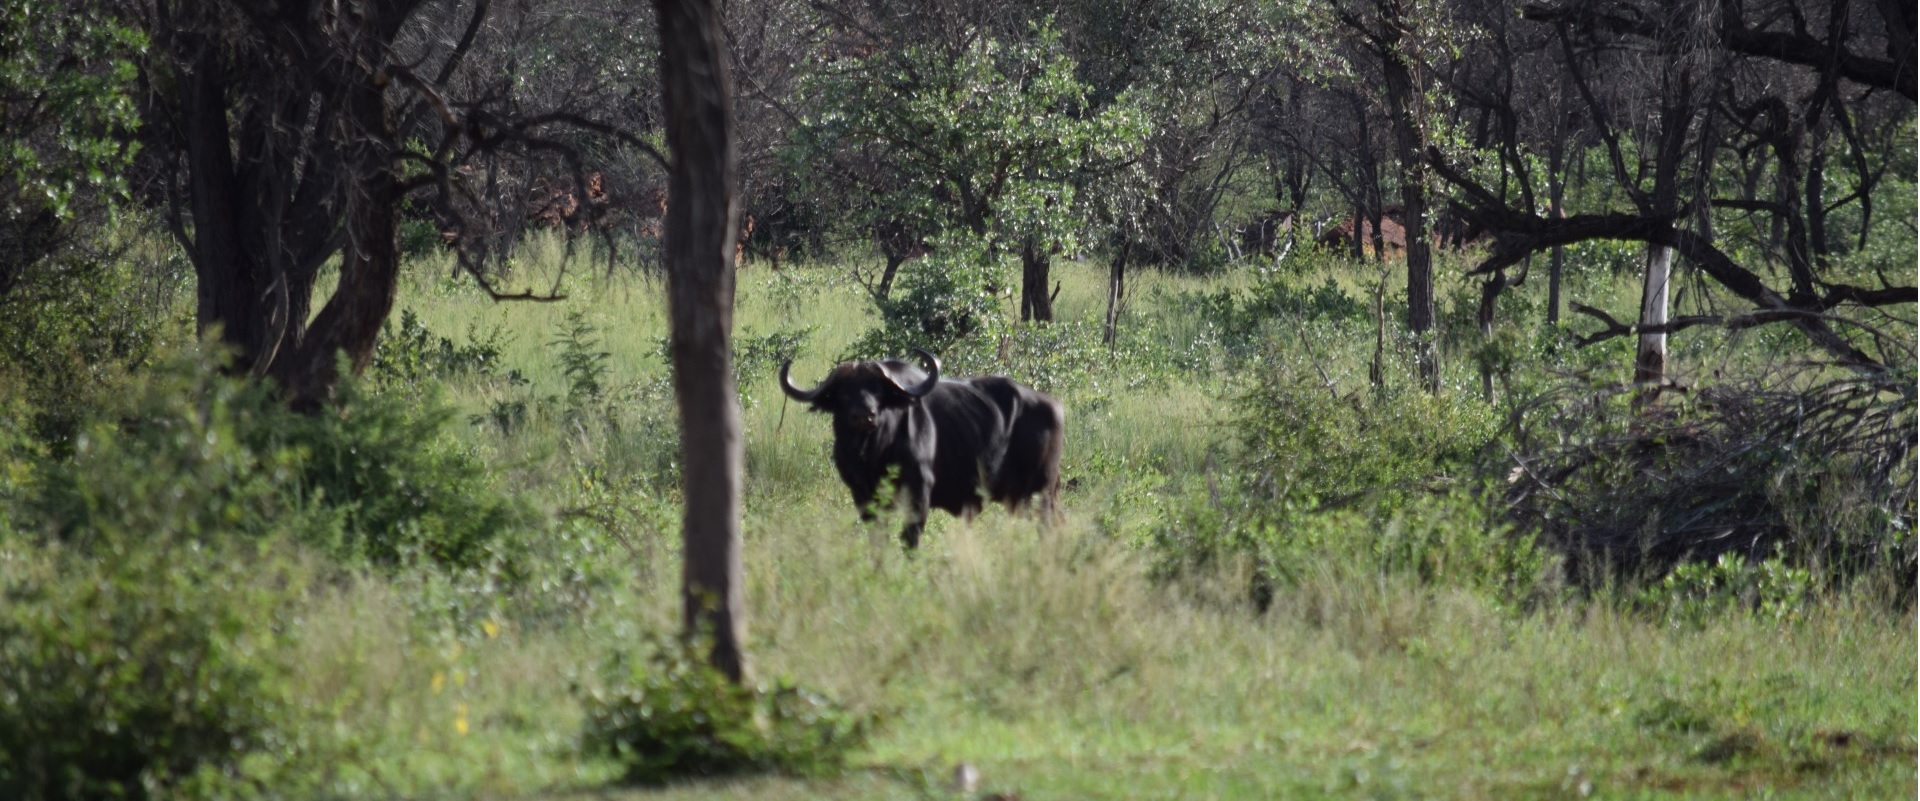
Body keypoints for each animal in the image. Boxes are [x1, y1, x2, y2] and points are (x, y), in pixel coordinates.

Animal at [783, 345, 1075, 545]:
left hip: (1040, 493)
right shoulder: (863, 496)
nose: (865, 415)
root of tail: (1055, 406)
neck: (875, 453)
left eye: (877, 390)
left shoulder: (919, 494)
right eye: (843, 392)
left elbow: (909, 540)